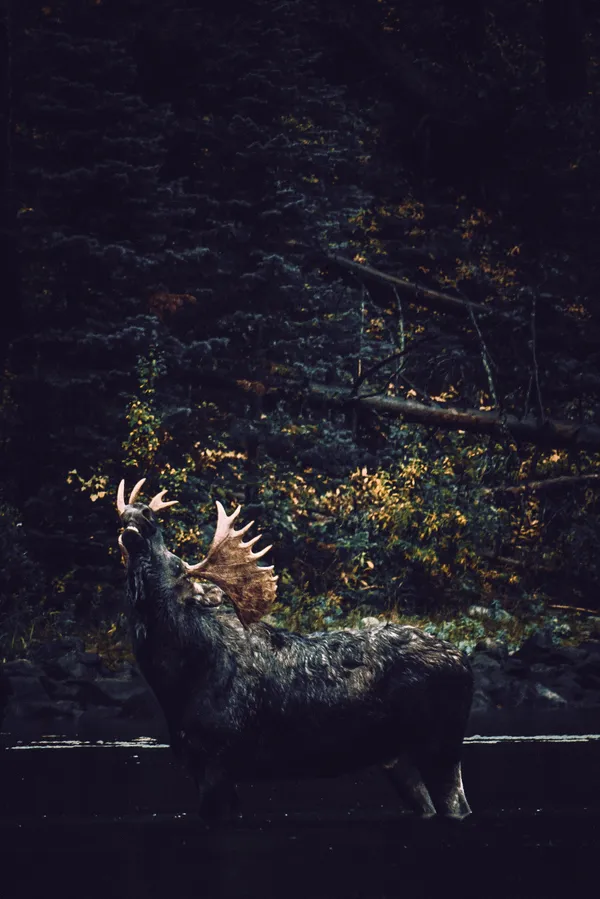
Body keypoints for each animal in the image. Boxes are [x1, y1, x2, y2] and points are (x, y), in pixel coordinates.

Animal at [116, 478, 474, 824]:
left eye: (177, 565)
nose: (141, 513)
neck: (176, 682)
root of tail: (465, 661)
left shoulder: (217, 756)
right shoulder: (197, 762)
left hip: (441, 744)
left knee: (456, 804)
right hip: (397, 756)